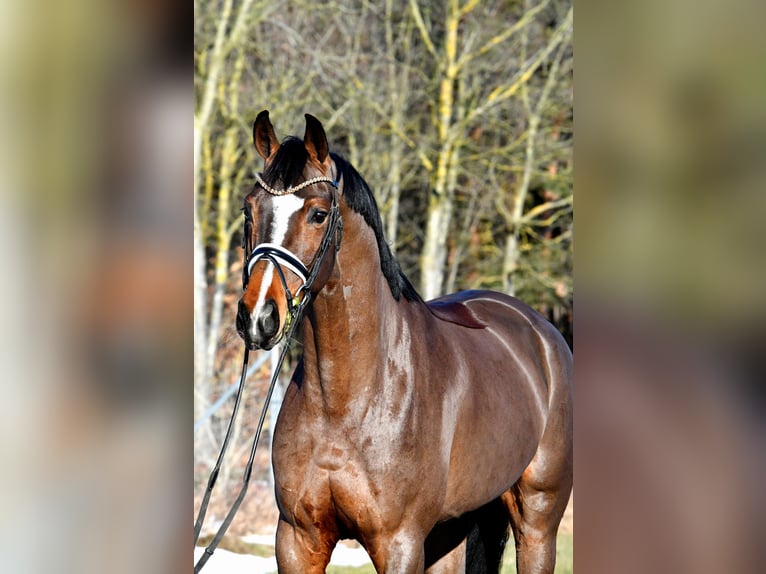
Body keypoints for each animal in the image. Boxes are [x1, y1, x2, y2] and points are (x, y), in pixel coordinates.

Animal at [236, 111, 573, 573]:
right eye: (249, 209)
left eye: (319, 214)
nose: (258, 317)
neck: (348, 401)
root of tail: (543, 332)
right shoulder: (297, 539)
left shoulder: (400, 542)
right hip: (450, 531)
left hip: (537, 520)